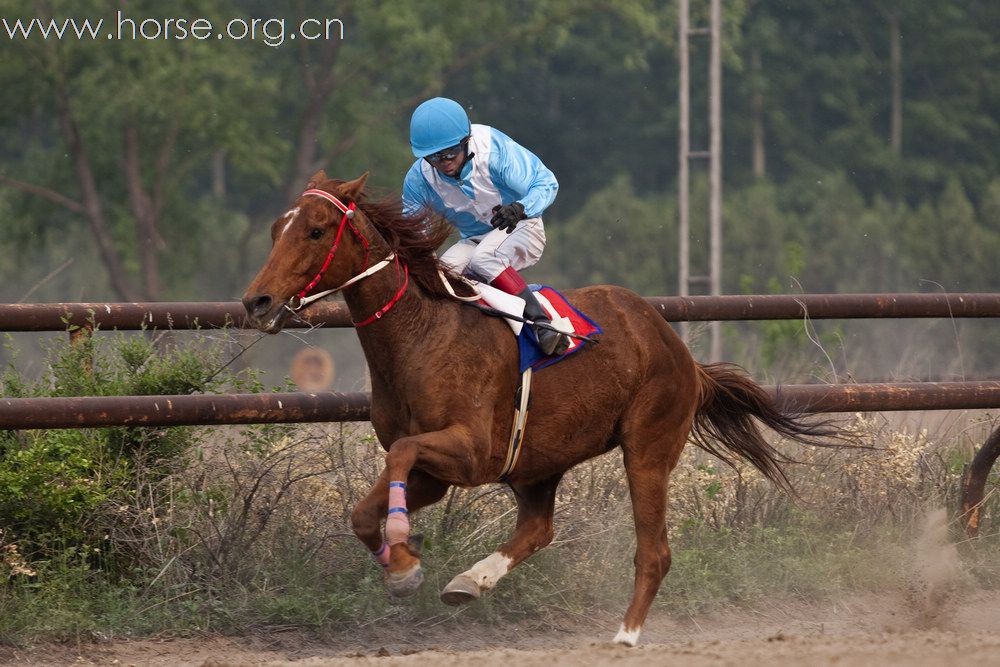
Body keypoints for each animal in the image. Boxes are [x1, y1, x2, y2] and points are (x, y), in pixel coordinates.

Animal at [246, 172, 840, 648]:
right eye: (277, 229)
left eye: (316, 230)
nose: (256, 302)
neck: (424, 334)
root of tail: (682, 354)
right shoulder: (437, 472)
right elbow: (364, 508)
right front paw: (402, 569)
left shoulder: (471, 452)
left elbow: (402, 455)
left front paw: (403, 553)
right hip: (539, 462)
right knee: (538, 528)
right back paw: (470, 581)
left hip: (647, 448)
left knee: (654, 551)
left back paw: (625, 635)